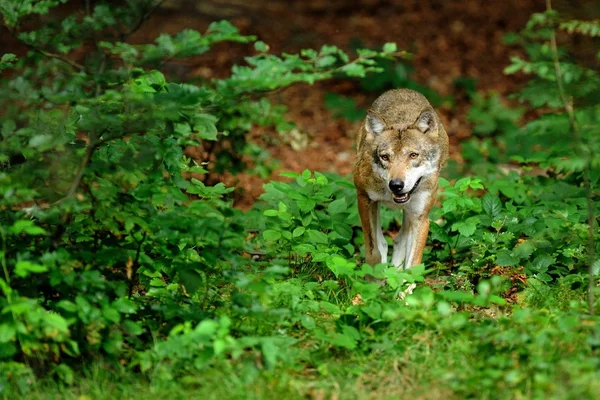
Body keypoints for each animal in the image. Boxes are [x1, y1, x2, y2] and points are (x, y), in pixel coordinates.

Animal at [354, 88, 448, 278]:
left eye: (413, 155)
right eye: (385, 157)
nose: (396, 184)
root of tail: (401, 89)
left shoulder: (421, 218)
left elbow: (412, 267)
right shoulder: (363, 197)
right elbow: (374, 252)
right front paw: (374, 281)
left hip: (411, 213)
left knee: (399, 240)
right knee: (384, 242)